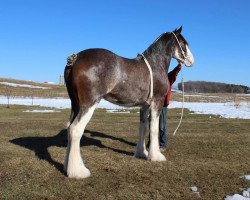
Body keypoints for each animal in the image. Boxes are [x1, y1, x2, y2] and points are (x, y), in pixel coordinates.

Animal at [63, 26, 194, 178]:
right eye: (183, 42)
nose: (191, 60)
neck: (155, 65)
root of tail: (75, 57)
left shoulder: (144, 106)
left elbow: (143, 128)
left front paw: (142, 153)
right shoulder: (157, 103)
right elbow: (154, 129)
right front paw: (156, 156)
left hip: (76, 104)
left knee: (69, 129)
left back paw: (67, 167)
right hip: (89, 104)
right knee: (75, 130)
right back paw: (78, 171)